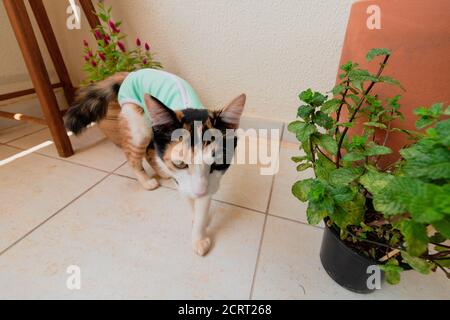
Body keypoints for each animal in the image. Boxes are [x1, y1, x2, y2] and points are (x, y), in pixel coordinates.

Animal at [63, 69, 246, 256]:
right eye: (180, 164)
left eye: (217, 163)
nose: (199, 192)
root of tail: (131, 73)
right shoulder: (182, 181)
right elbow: (188, 198)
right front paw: (197, 226)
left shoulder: (210, 182)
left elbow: (202, 203)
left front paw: (199, 231)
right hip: (138, 125)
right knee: (134, 156)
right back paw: (146, 181)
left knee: (150, 151)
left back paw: (162, 172)